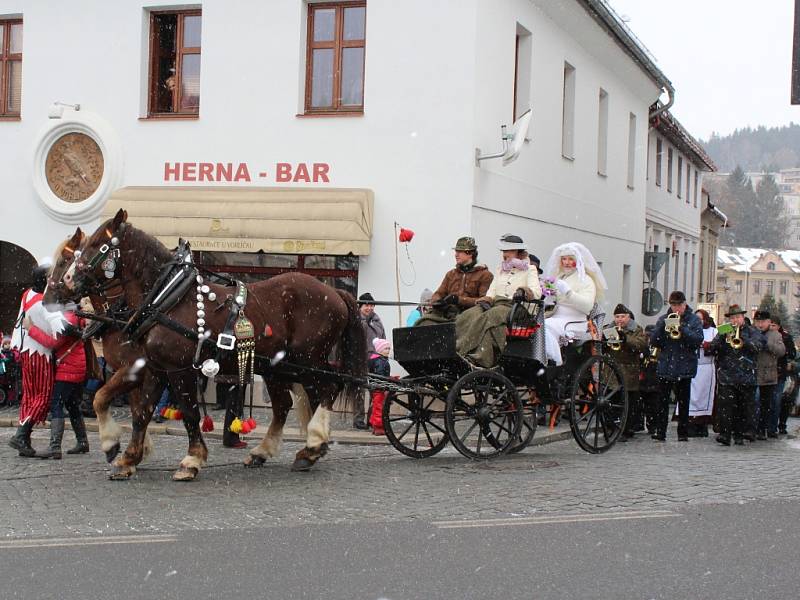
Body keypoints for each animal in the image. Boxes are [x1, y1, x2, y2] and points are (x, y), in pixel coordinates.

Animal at [55, 211, 366, 478]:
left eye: (98, 244)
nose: (67, 280)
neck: (168, 297)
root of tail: (335, 292)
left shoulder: (176, 369)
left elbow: (189, 412)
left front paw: (191, 460)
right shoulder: (155, 368)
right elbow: (138, 411)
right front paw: (126, 456)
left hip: (307, 359)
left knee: (330, 387)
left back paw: (312, 445)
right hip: (279, 367)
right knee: (285, 404)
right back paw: (275, 451)